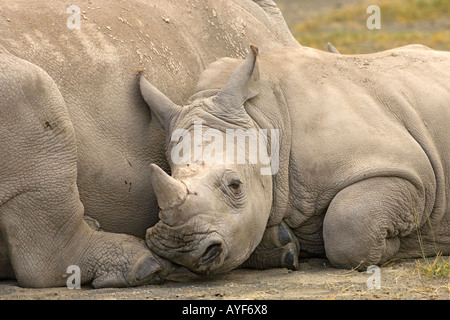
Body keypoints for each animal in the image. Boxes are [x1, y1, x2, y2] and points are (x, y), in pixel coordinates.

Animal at [142, 43, 450, 274]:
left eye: (235, 185)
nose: (180, 249)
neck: (264, 121)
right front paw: (284, 246)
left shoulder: (412, 174)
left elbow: (347, 226)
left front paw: (407, 246)